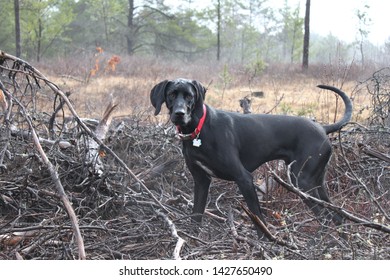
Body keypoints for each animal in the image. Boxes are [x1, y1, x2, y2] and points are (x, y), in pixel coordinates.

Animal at [150, 79, 354, 238]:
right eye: (171, 94)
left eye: (189, 96)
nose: (179, 114)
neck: (199, 129)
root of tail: (322, 128)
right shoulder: (201, 181)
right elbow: (196, 215)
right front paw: (192, 239)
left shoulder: (244, 178)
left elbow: (258, 218)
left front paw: (265, 241)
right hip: (316, 183)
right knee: (337, 217)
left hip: (302, 181)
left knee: (326, 218)